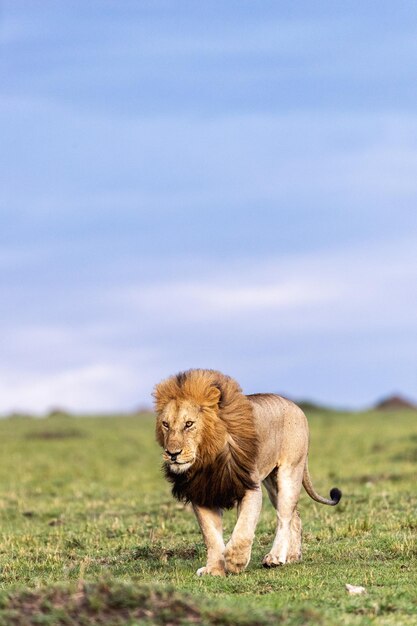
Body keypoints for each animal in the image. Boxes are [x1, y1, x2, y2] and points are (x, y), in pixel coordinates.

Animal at [153, 366, 342, 576]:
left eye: (189, 424)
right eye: (165, 424)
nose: (172, 453)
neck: (209, 458)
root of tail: (296, 406)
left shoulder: (250, 488)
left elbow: (244, 527)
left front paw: (235, 561)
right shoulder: (202, 493)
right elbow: (211, 535)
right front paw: (214, 569)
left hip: (290, 472)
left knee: (284, 516)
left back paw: (275, 557)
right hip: (272, 483)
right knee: (295, 516)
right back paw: (292, 556)